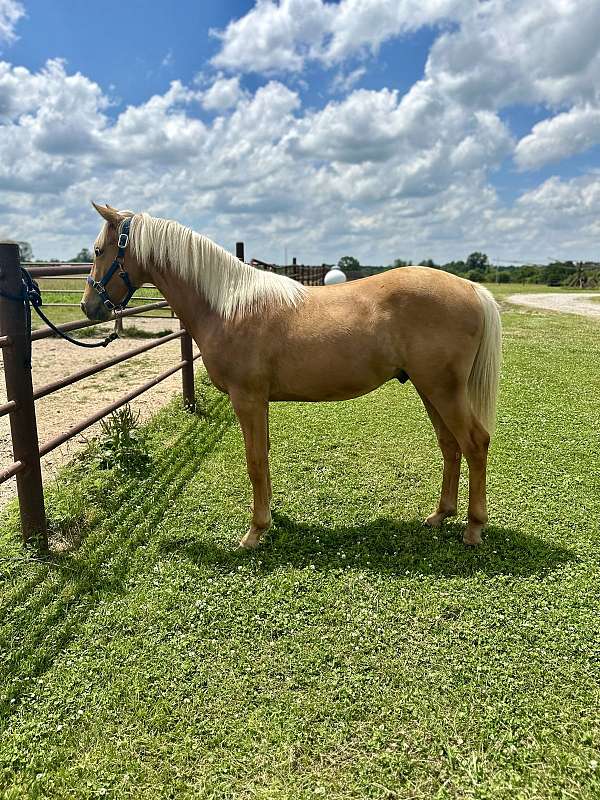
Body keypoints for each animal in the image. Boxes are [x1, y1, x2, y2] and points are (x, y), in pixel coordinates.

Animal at [81, 203, 502, 548]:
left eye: (99, 251)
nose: (89, 307)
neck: (227, 305)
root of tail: (472, 289)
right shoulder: (259, 402)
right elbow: (264, 456)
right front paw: (269, 518)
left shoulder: (247, 399)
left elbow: (254, 461)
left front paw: (255, 532)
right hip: (430, 389)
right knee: (450, 446)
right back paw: (440, 515)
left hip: (443, 390)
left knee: (475, 443)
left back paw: (473, 528)